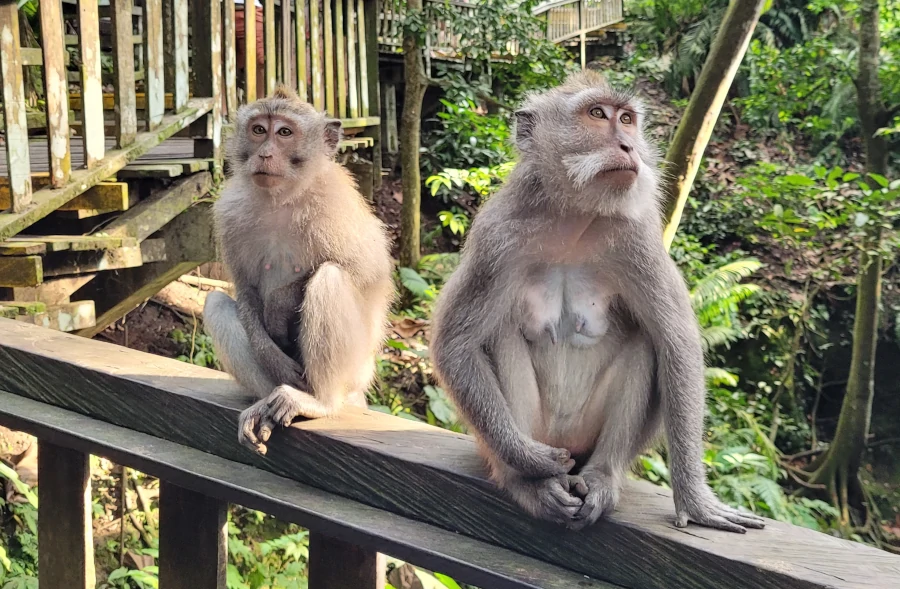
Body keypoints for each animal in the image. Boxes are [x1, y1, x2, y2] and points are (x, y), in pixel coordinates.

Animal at [203, 85, 395, 456]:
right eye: (259, 130)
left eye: (284, 133)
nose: (264, 154)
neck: (281, 199)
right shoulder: (230, 213)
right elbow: (245, 289)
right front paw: (270, 352)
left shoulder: (335, 204)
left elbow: (370, 274)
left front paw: (281, 303)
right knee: (216, 303)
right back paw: (264, 403)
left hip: (358, 368)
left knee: (330, 279)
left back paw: (321, 402)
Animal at [429, 71, 766, 533]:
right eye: (596, 114)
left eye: (626, 119)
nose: (628, 146)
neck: (574, 217)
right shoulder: (496, 237)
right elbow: (456, 345)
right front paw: (530, 460)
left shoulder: (638, 240)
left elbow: (676, 344)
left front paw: (696, 500)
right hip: (538, 433)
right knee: (497, 335)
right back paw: (529, 480)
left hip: (587, 438)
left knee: (647, 345)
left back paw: (603, 476)